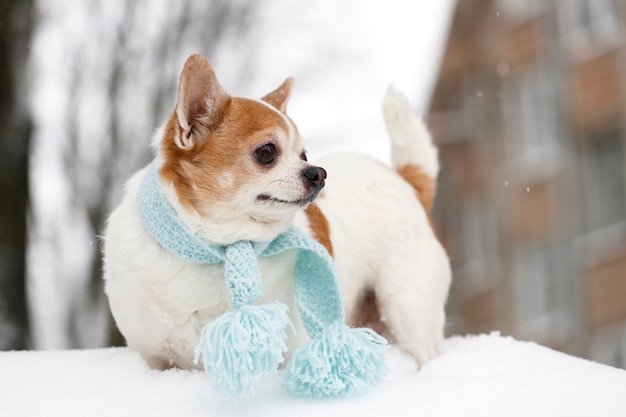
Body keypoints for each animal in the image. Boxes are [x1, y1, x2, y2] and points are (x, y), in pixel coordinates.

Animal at [105, 53, 450, 368]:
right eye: (267, 152)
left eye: (304, 155)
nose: (319, 173)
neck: (221, 247)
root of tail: (406, 183)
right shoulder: (155, 358)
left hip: (404, 306)